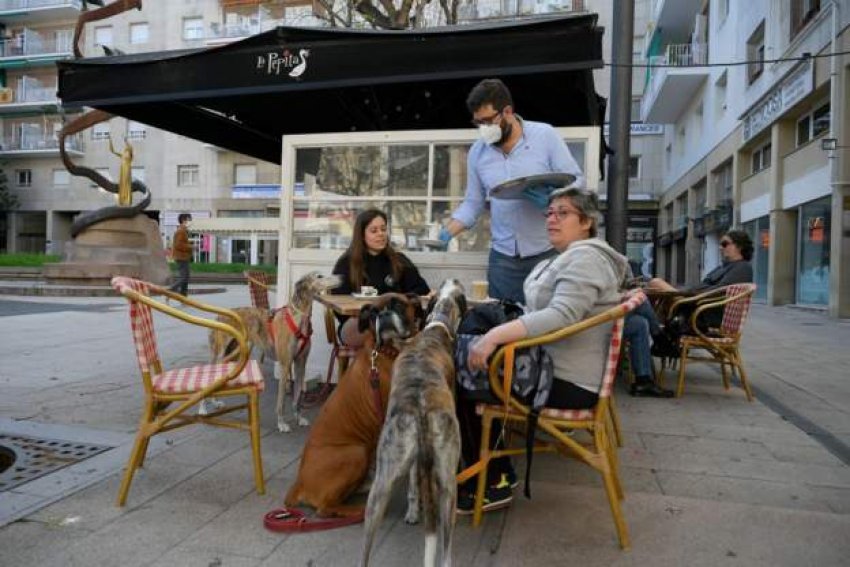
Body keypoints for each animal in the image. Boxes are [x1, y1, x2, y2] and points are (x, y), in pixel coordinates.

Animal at [284, 292, 424, 520]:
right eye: (373, 313)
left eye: (397, 304)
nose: (383, 315)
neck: (392, 350)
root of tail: (299, 484)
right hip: (356, 453)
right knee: (325, 508)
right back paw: (360, 510)